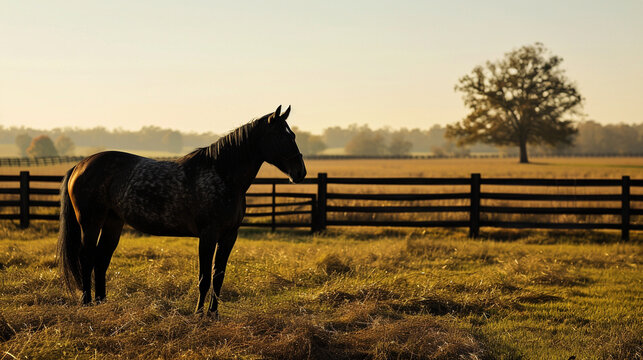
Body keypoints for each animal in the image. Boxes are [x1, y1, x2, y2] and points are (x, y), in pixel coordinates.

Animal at [56, 105, 306, 316]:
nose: (300, 172)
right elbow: (204, 278)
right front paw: (198, 314)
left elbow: (218, 276)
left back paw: (102, 303)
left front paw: (214, 314)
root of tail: (80, 165)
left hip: (113, 223)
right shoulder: (208, 235)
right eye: (283, 136)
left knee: (101, 260)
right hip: (90, 222)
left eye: (293, 135)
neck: (222, 175)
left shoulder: (229, 236)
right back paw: (87, 303)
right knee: (87, 258)